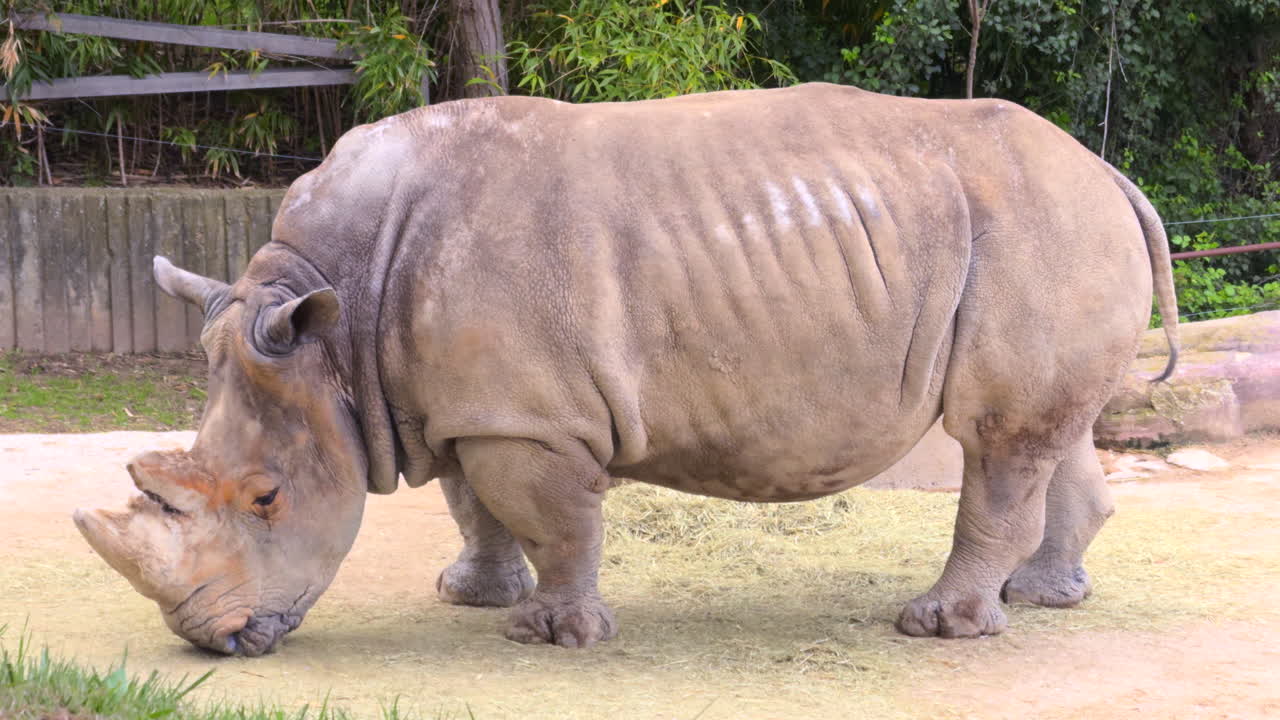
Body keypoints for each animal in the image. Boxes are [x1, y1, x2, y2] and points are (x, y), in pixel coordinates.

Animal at [73, 83, 1178, 656]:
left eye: (265, 498)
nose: (209, 641)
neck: (333, 322)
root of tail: (1110, 173)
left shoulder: (527, 416)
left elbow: (553, 518)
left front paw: (554, 635)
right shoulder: (456, 403)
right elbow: (473, 505)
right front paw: (471, 598)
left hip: (1039, 225)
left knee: (999, 436)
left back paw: (940, 628)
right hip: (1049, 230)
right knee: (1050, 432)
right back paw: (1042, 600)